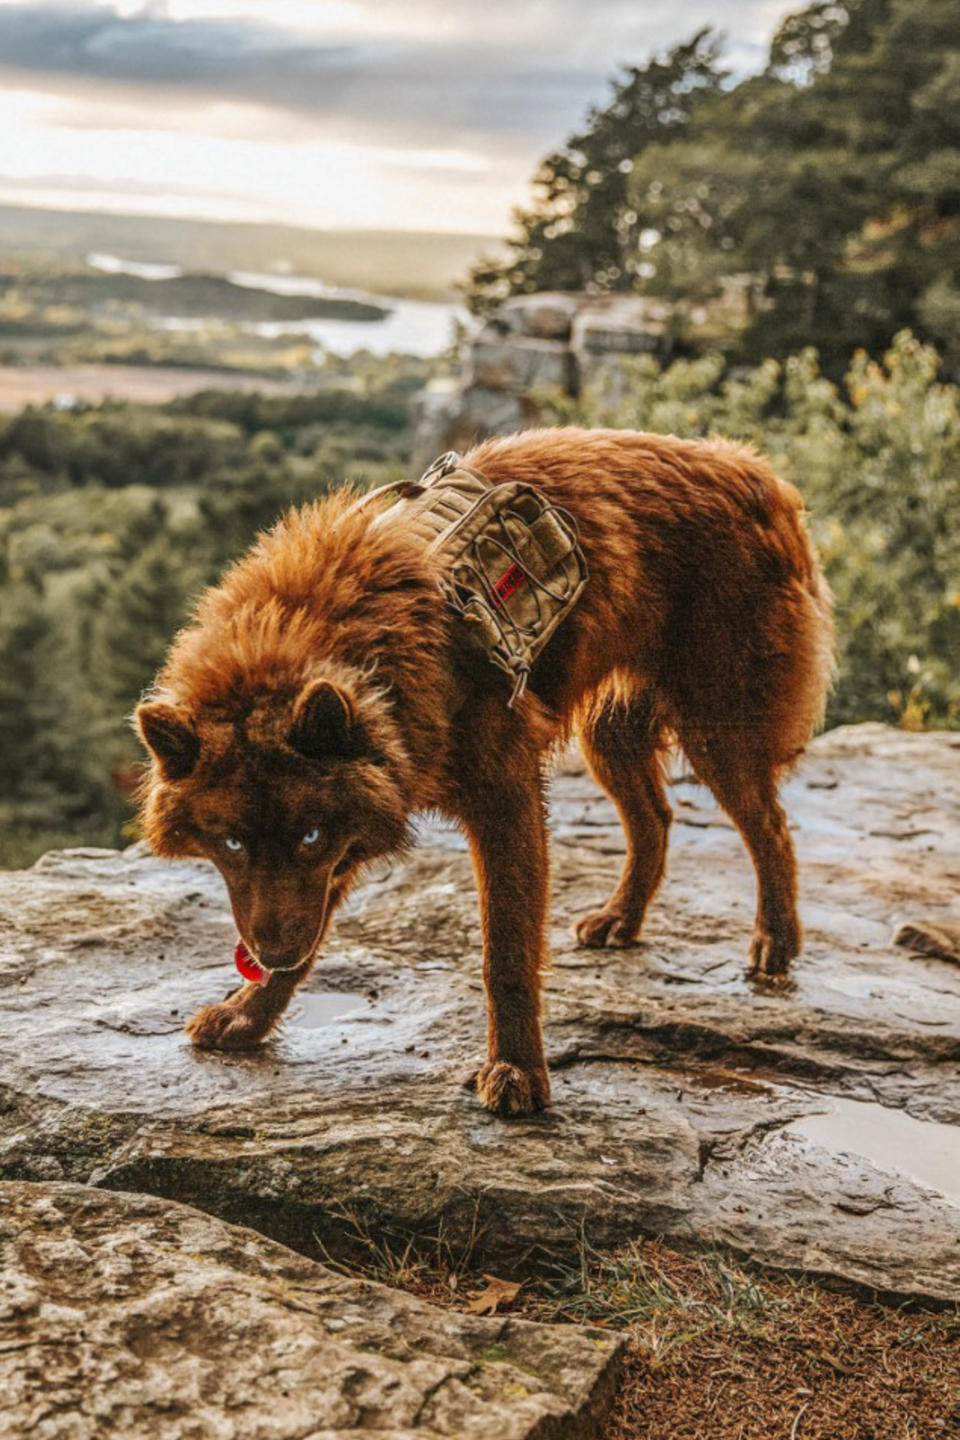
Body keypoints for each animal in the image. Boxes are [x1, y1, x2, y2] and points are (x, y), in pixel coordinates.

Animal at [135, 420, 834, 1117]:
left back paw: (775, 941)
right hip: (610, 736)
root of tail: (755, 471)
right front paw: (250, 1015)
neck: (354, 639)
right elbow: (319, 922)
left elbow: (507, 952)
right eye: (231, 844)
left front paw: (517, 1070)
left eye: (307, 836)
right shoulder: (357, 821)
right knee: (656, 819)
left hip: (718, 726)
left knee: (770, 828)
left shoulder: (502, 799)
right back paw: (623, 918)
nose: (271, 954)